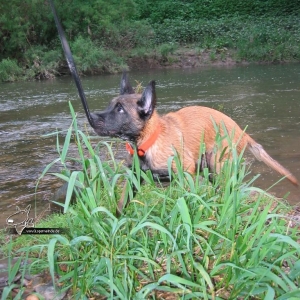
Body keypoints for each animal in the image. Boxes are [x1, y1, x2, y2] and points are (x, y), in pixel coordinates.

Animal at [91, 72, 298, 213]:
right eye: (110, 105)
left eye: (120, 110)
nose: (91, 117)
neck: (149, 141)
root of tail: (242, 131)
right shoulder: (134, 179)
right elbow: (121, 205)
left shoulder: (185, 173)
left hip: (217, 164)